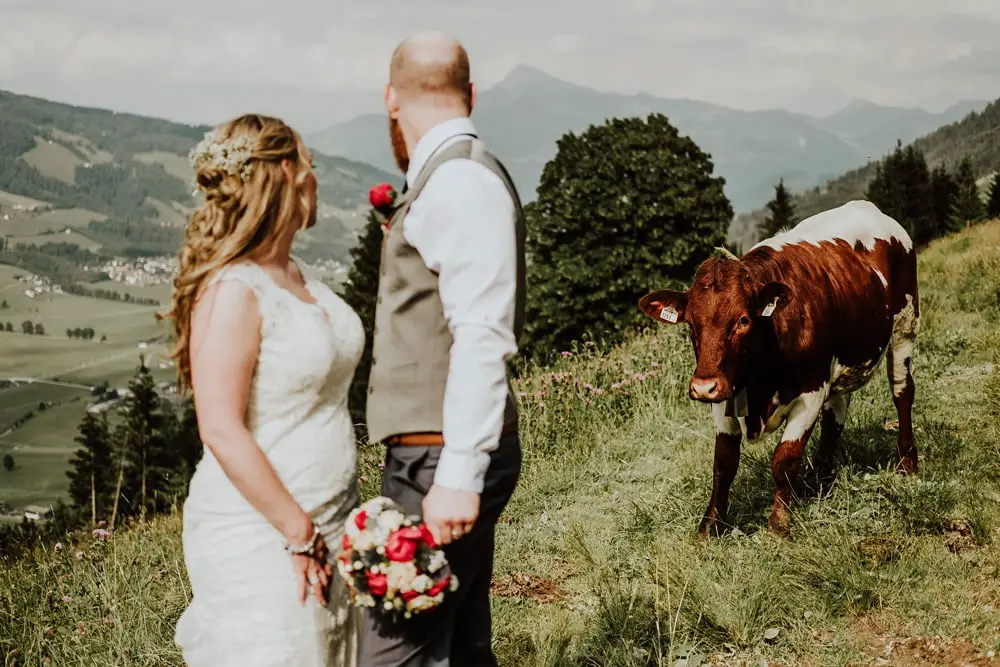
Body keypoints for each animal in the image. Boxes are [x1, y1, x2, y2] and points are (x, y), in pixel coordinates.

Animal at [644, 198, 916, 536]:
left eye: (743, 320)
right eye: (691, 324)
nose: (703, 387)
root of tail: (866, 207)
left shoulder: (811, 391)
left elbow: (784, 460)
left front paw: (778, 525)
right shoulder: (725, 389)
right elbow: (724, 463)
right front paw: (710, 526)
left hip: (905, 324)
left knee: (902, 392)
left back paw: (907, 464)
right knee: (835, 415)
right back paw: (820, 481)